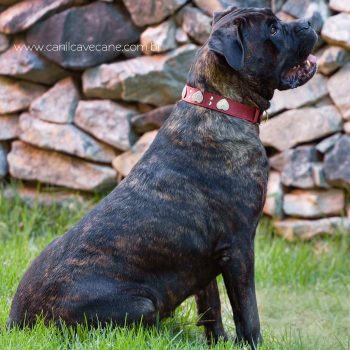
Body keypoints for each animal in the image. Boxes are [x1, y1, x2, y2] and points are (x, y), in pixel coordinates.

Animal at [8, 6, 318, 348]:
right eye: (273, 29)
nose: (307, 22)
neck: (220, 107)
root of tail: (19, 323)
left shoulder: (205, 260)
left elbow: (210, 307)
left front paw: (217, 341)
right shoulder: (238, 247)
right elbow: (247, 311)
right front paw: (251, 343)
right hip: (142, 303)